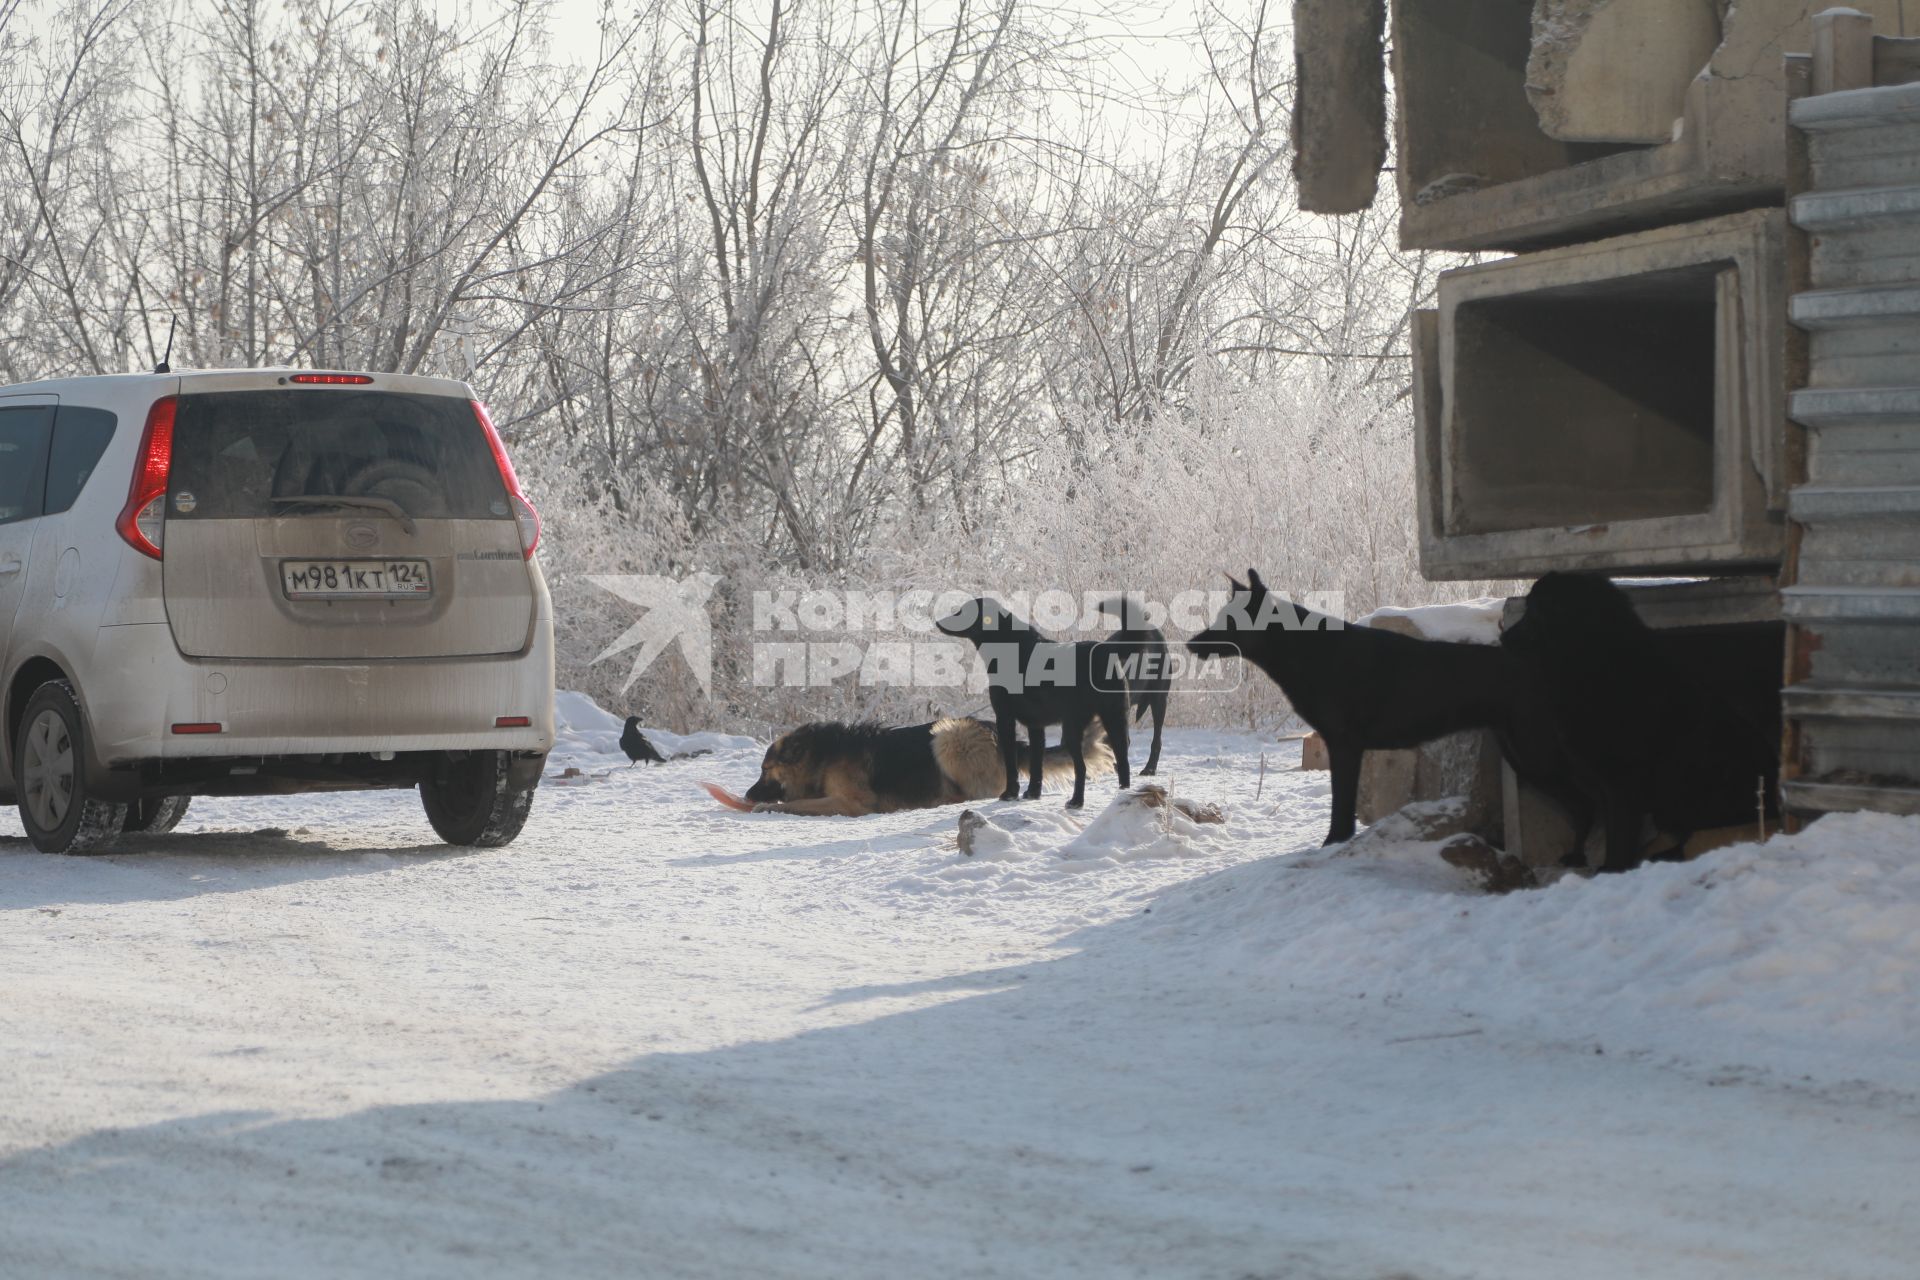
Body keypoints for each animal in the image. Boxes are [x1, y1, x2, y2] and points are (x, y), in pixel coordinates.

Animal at [741, 717, 1121, 817]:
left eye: (764, 770)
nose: (746, 794)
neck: (821, 756)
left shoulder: (851, 803)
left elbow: (797, 804)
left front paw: (765, 807)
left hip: (947, 735)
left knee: (975, 794)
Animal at [936, 594, 1128, 805]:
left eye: (963, 611)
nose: (938, 622)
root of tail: (1104, 652)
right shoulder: (1035, 724)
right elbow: (1036, 763)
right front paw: (1033, 793)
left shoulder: (1005, 718)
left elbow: (1011, 763)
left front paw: (1010, 793)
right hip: (1114, 717)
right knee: (1123, 758)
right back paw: (1124, 792)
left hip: (1073, 726)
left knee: (1082, 766)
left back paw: (1076, 801)